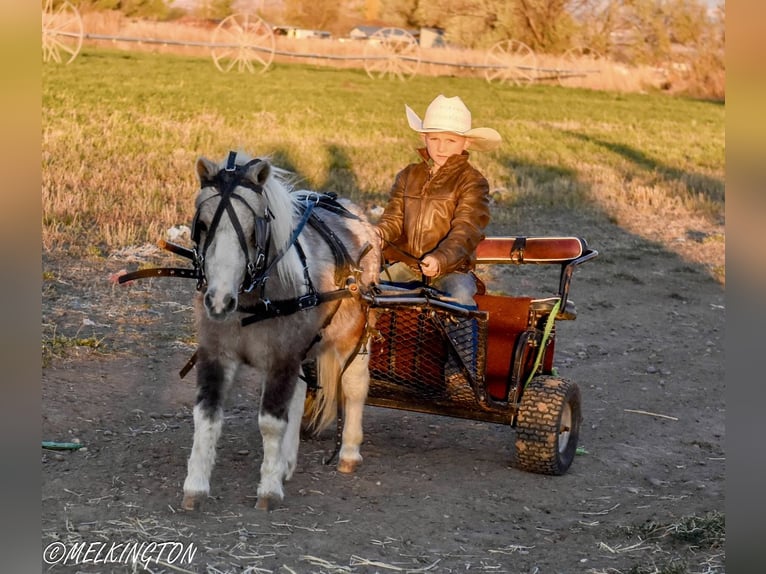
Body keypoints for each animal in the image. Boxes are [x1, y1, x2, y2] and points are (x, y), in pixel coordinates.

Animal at [183, 153, 380, 512]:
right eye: (201, 225)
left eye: (253, 230)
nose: (218, 300)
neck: (254, 300)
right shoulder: (217, 354)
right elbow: (206, 416)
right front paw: (196, 485)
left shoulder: (281, 358)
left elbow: (271, 423)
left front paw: (269, 488)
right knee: (300, 396)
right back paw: (288, 462)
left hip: (354, 335)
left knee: (355, 386)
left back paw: (348, 452)